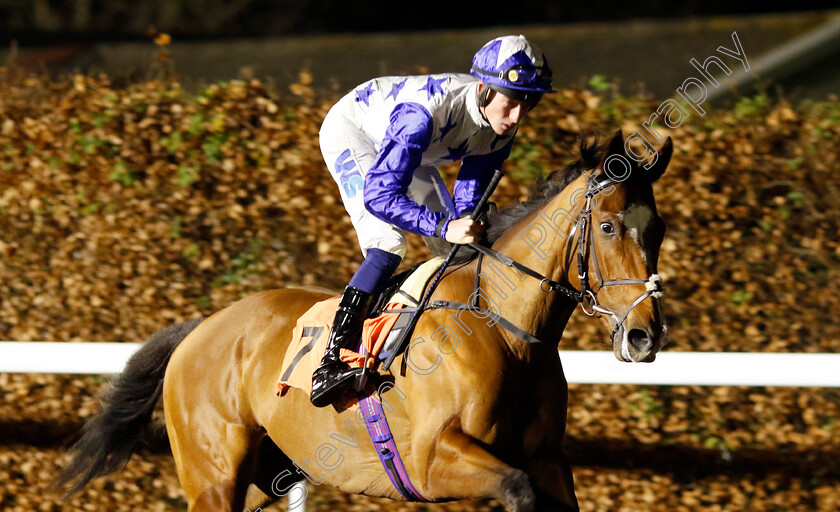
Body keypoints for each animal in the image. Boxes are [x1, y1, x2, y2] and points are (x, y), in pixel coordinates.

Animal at [52, 129, 672, 512]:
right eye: (609, 226)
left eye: (659, 228)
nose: (645, 335)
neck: (501, 329)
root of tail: (199, 329)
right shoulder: (432, 460)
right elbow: (515, 489)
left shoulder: (548, 460)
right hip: (213, 477)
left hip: (264, 475)